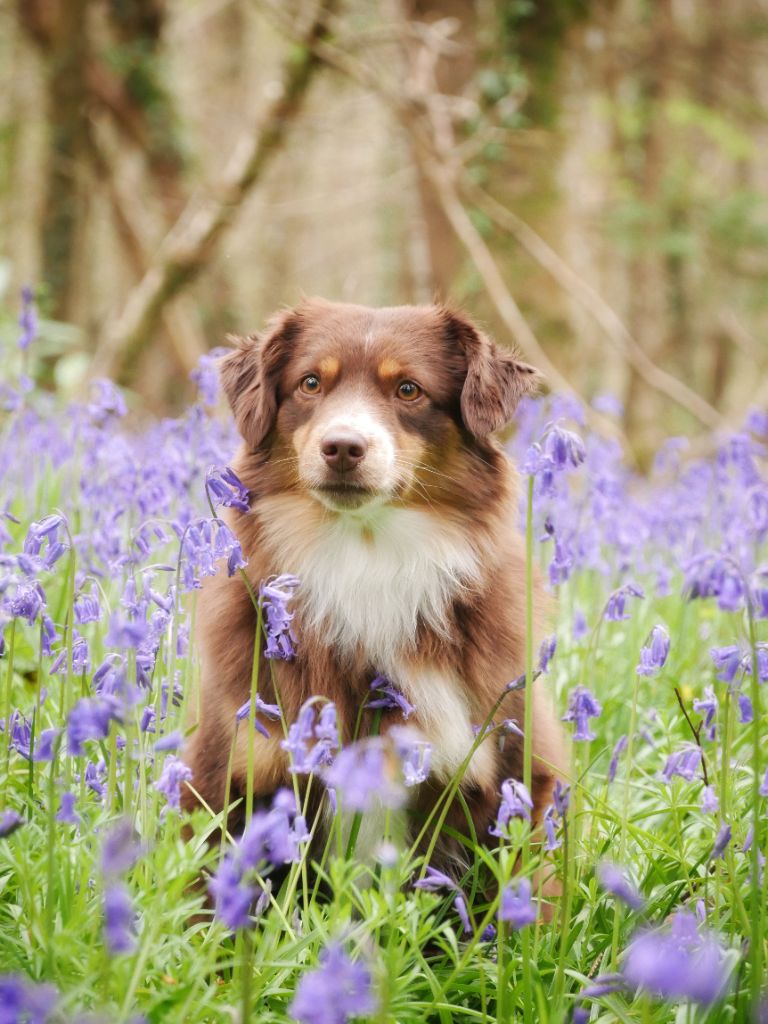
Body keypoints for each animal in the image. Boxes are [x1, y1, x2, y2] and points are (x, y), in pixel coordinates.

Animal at [180, 294, 565, 872]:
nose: (342, 447)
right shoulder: (232, 774)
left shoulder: (515, 775)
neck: (366, 555)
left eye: (408, 389)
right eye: (310, 383)